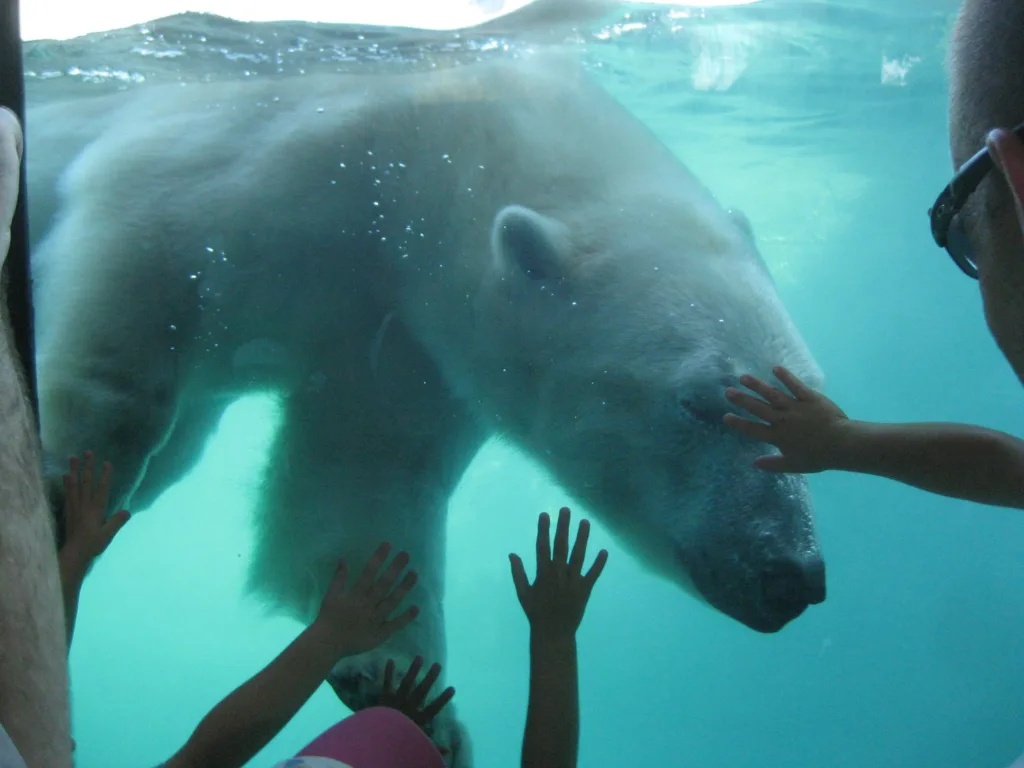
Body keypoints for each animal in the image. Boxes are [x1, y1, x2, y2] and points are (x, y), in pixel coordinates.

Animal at [25, 51, 826, 765]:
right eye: (698, 404)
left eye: (811, 402)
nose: (793, 575)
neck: (433, 137)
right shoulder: (261, 160)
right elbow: (152, 253)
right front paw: (67, 489)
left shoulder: (408, 340)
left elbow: (361, 477)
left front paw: (407, 693)